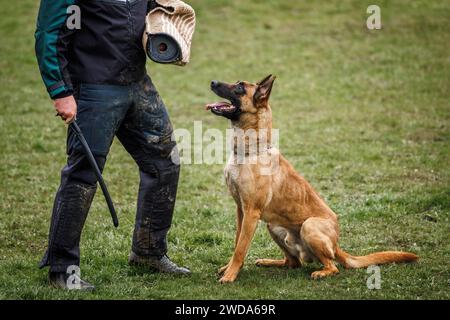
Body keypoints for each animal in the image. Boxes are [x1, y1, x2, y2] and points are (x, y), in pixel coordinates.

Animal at [206, 74, 416, 282]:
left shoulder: (251, 212)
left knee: (332, 266)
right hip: (273, 225)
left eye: (240, 87)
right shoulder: (240, 210)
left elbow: (240, 248)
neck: (250, 152)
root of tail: (337, 246)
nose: (212, 82)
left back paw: (321, 272)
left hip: (309, 225)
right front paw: (228, 269)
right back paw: (269, 262)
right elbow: (237, 243)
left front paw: (230, 275)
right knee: (293, 262)